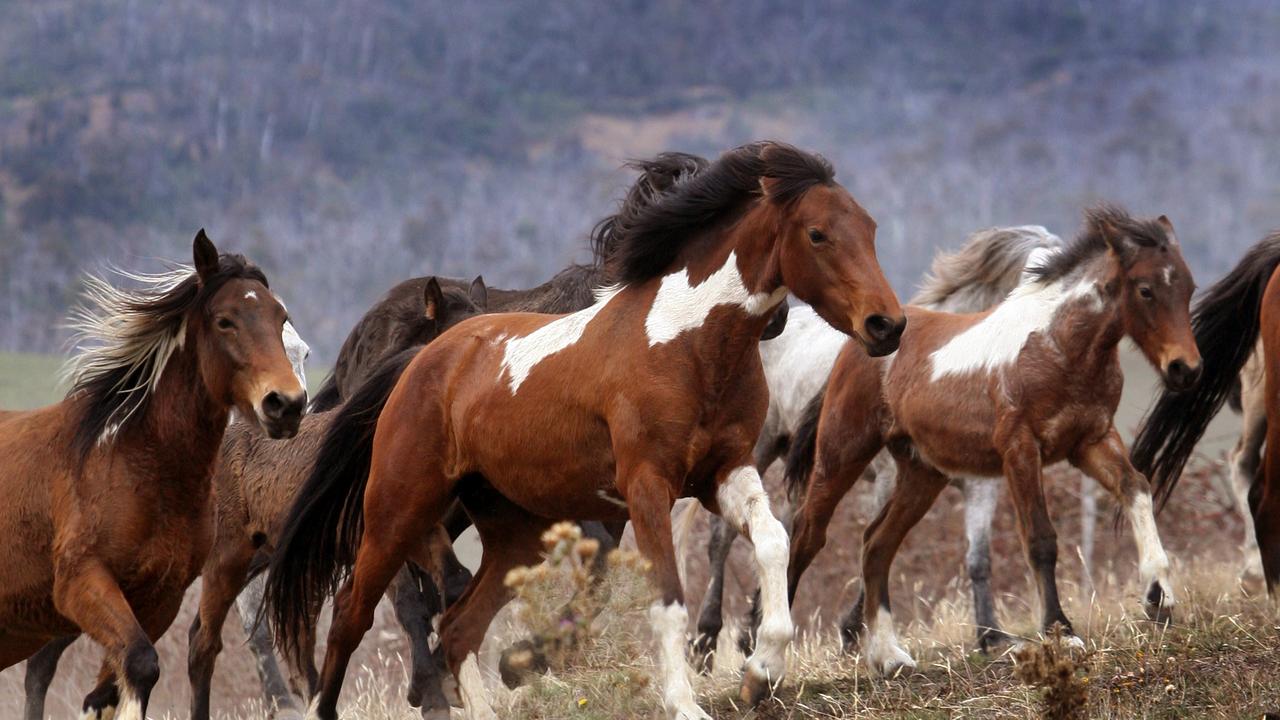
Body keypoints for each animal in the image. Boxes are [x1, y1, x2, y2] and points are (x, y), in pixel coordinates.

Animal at [0, 230, 304, 717]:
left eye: (280, 318)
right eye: (225, 321)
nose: (287, 404)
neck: (137, 468)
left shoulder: (161, 598)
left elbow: (107, 690)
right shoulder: (80, 582)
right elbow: (140, 666)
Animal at [259, 141, 901, 717]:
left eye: (871, 228)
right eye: (817, 234)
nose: (887, 326)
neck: (687, 346)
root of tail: (420, 359)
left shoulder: (724, 472)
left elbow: (773, 542)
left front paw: (761, 670)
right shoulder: (645, 487)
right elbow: (666, 596)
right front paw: (684, 703)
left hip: (513, 532)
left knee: (460, 623)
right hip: (398, 508)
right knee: (357, 613)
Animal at [691, 226, 1070, 671]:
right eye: (1038, 276)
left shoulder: (982, 485)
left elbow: (979, 559)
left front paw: (990, 634)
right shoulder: (890, 477)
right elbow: (874, 542)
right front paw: (854, 633)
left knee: (785, 526)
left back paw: (752, 628)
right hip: (764, 449)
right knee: (722, 538)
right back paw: (706, 641)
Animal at [778, 206, 1198, 671]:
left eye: (1189, 286)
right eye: (1145, 290)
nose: (1186, 369)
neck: (1057, 347)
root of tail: (860, 344)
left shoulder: (1090, 441)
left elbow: (1136, 488)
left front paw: (1159, 598)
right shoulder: (1020, 449)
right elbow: (1041, 540)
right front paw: (1061, 631)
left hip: (922, 474)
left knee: (876, 543)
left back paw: (889, 656)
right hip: (842, 453)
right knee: (807, 534)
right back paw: (768, 658)